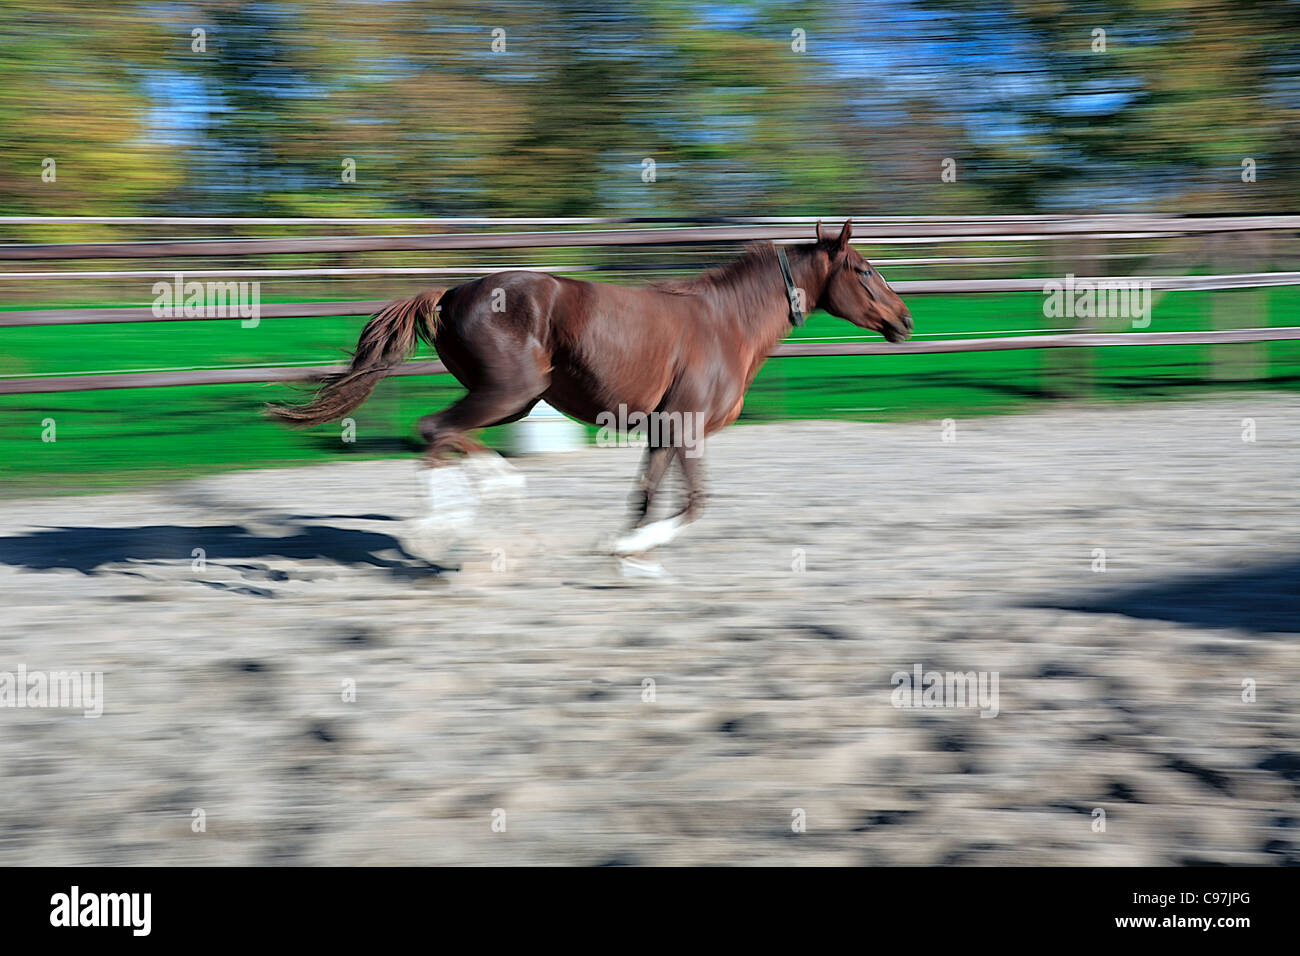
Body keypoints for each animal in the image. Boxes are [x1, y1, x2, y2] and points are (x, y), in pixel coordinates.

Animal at [269, 218, 909, 567]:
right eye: (864, 270)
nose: (903, 320)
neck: (726, 323)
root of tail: (449, 294)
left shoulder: (662, 430)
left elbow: (644, 498)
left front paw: (620, 543)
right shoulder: (687, 428)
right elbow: (695, 503)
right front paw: (627, 548)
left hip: (514, 399)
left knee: (448, 437)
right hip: (511, 392)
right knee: (436, 431)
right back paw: (446, 533)